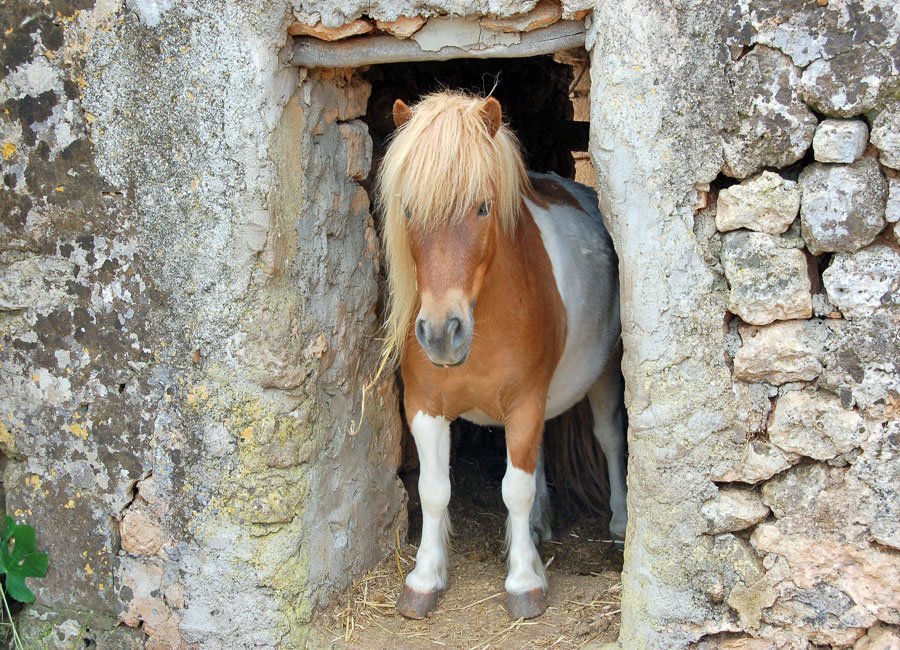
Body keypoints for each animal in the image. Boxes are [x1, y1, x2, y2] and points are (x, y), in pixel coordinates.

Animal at [376, 91, 626, 621]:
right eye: (407, 209)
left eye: (483, 208)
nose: (441, 334)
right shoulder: (424, 407)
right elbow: (433, 492)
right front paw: (424, 579)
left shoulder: (525, 402)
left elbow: (516, 488)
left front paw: (524, 581)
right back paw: (540, 525)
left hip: (602, 378)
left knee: (611, 439)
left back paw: (618, 521)